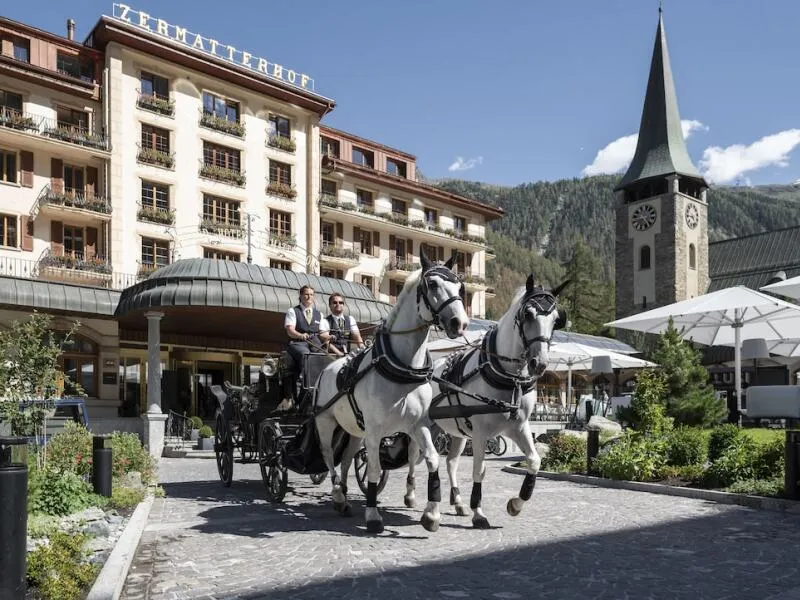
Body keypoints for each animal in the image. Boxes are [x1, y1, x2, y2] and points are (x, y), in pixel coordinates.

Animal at [312, 251, 468, 532]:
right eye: (432, 284)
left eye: (460, 287)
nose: (459, 323)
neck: (403, 366)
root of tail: (327, 369)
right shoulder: (375, 432)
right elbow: (374, 470)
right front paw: (373, 516)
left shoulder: (418, 425)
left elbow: (432, 459)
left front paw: (431, 513)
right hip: (326, 422)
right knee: (329, 456)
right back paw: (338, 495)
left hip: (355, 431)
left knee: (346, 459)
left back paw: (343, 494)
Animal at [412, 274, 568, 528]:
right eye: (528, 314)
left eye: (556, 320)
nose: (540, 364)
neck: (508, 376)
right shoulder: (480, 433)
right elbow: (479, 471)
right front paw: (478, 511)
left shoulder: (518, 427)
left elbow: (534, 461)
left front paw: (516, 504)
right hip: (423, 426)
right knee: (414, 457)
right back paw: (411, 496)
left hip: (454, 432)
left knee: (450, 462)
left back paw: (457, 503)